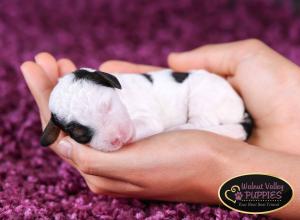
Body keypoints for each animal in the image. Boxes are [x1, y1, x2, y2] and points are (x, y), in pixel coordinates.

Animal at [39, 68, 251, 152]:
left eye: (107, 105)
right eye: (80, 135)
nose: (117, 138)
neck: (124, 99)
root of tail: (242, 110)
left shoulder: (147, 117)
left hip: (204, 97)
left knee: (201, 122)